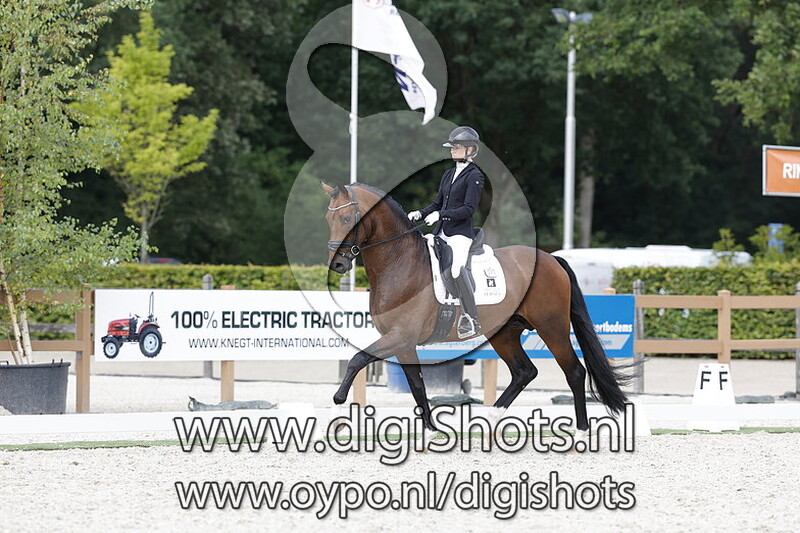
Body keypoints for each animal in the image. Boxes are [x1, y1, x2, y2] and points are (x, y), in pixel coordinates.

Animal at [322, 182, 629, 443]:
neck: (400, 263)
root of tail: (552, 259)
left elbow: (357, 360)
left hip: (551, 327)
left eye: (347, 220)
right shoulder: (403, 343)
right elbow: (417, 385)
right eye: (329, 219)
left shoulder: (400, 336)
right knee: (524, 372)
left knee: (574, 371)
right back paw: (490, 418)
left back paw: (580, 432)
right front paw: (430, 432)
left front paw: (337, 411)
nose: (337, 265)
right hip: (505, 333)